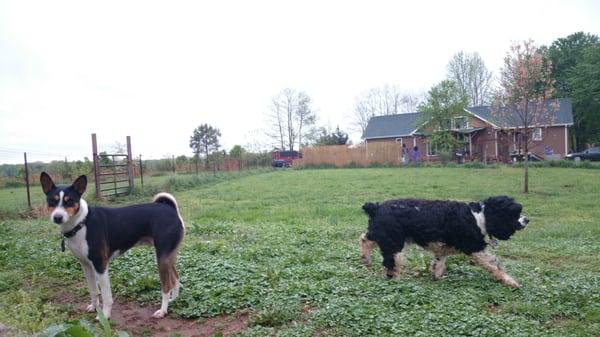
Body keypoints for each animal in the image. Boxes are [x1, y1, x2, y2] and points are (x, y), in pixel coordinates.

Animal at [40, 173, 185, 318]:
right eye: (52, 201)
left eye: (69, 201)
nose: (57, 217)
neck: (82, 223)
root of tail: (170, 209)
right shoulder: (86, 266)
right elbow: (93, 290)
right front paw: (94, 307)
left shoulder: (100, 265)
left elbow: (106, 295)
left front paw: (104, 315)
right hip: (168, 257)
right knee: (176, 278)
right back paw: (174, 299)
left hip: (161, 258)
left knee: (166, 285)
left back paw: (163, 311)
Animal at [358, 196, 528, 288]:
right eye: (515, 212)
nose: (527, 220)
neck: (479, 216)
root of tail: (376, 207)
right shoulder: (474, 247)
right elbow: (495, 265)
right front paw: (510, 281)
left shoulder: (443, 249)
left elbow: (438, 263)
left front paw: (437, 276)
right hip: (394, 242)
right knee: (390, 263)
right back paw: (394, 278)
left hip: (383, 234)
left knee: (364, 238)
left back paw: (366, 259)